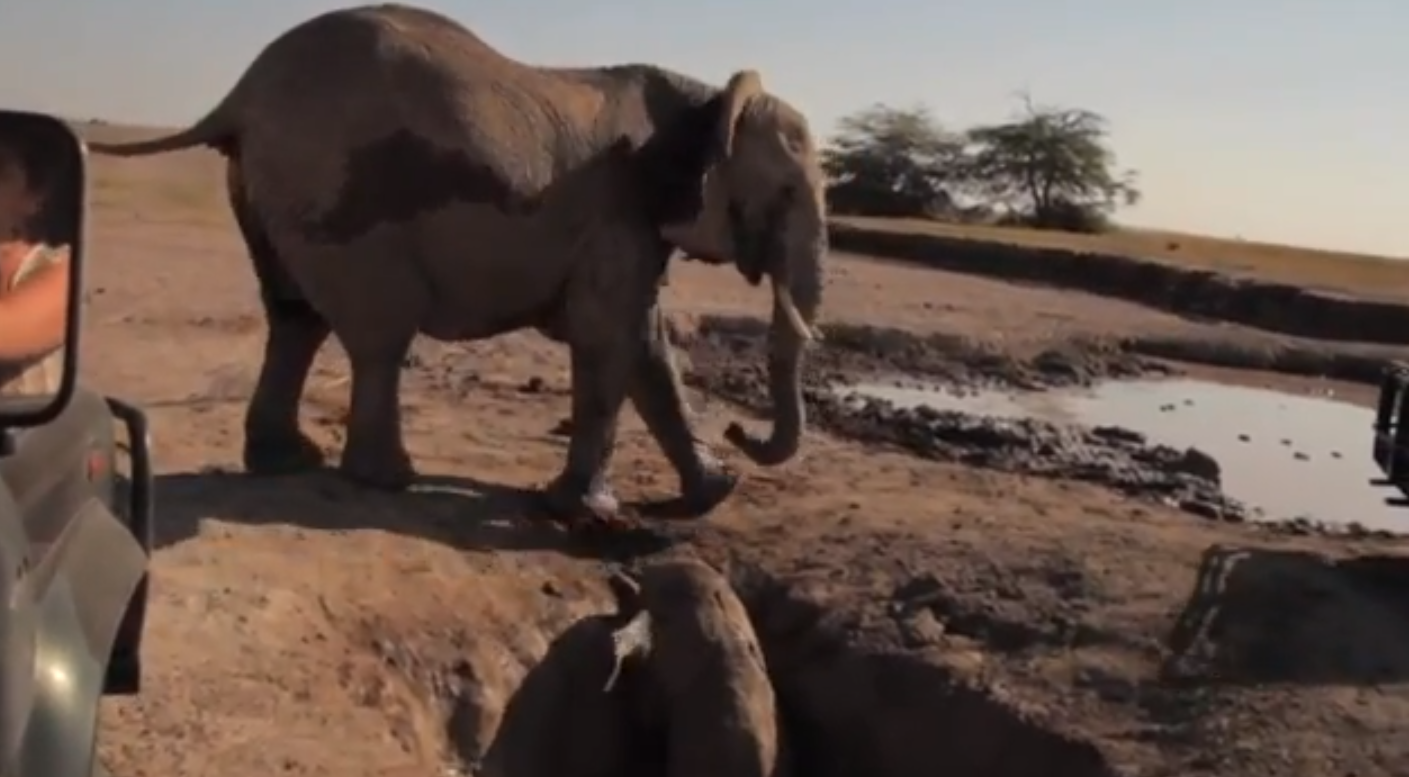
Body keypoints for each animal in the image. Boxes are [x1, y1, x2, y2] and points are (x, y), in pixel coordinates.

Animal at [87, 3, 827, 522]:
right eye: (788, 192)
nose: (741, 429)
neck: (706, 98)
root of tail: (239, 95)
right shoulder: (615, 210)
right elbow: (607, 337)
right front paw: (585, 514)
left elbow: (645, 345)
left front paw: (715, 492)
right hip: (339, 196)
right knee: (379, 333)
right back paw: (386, 479)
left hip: (265, 186)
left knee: (295, 319)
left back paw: (287, 462)